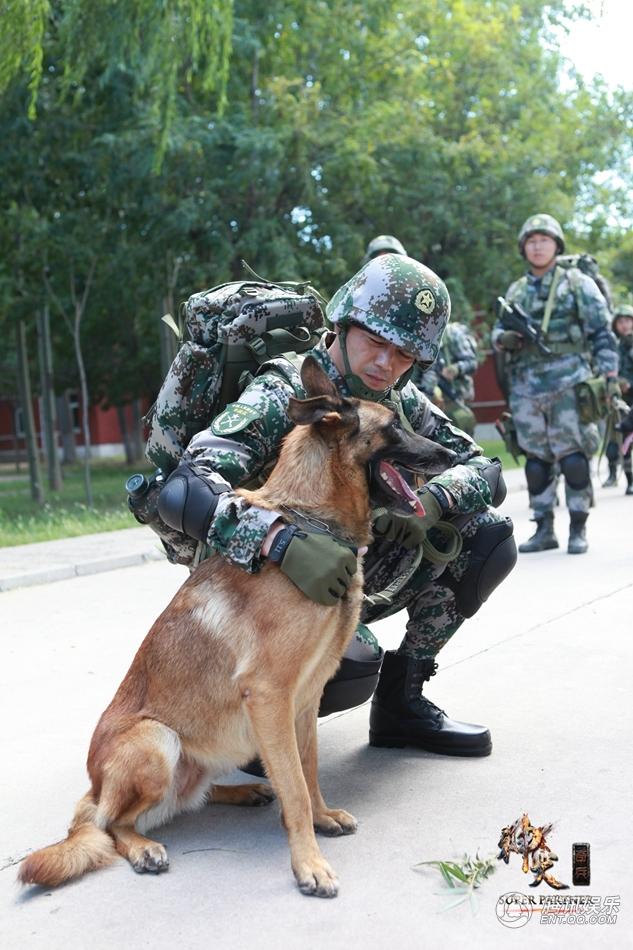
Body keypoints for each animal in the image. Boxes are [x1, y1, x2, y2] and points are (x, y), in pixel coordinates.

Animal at [19, 356, 454, 900]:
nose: (450, 452)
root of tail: (93, 792)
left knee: (192, 798)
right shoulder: (269, 695)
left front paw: (322, 816)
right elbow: (294, 784)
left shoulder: (304, 700)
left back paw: (244, 790)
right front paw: (309, 863)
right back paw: (143, 848)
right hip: (157, 740)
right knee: (113, 825)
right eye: (394, 426)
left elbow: (307, 771)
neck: (309, 523)